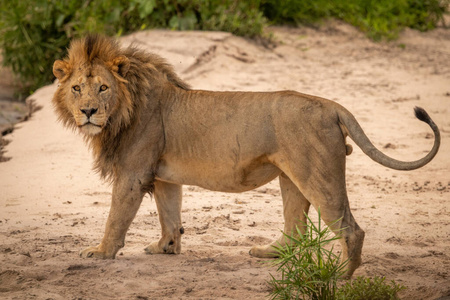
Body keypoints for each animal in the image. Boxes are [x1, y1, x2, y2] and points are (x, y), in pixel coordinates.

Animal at [51, 34, 440, 276]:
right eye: (76, 88)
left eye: (103, 87)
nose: (88, 112)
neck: (123, 110)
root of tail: (332, 105)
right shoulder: (162, 175)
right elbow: (169, 213)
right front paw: (166, 247)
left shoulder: (133, 173)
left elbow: (116, 217)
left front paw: (101, 252)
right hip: (292, 176)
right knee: (295, 225)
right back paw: (271, 252)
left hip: (318, 175)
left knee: (351, 230)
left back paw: (340, 277)